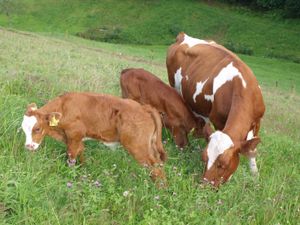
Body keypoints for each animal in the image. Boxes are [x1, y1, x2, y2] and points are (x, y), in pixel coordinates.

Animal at [21, 92, 166, 182]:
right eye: (23, 129)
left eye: (37, 128)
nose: (28, 146)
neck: (64, 107)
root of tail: (144, 107)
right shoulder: (75, 138)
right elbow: (81, 154)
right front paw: (83, 170)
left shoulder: (74, 136)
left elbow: (71, 157)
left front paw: (71, 175)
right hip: (150, 145)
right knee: (158, 163)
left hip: (138, 147)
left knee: (155, 168)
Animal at [166, 32, 264, 186]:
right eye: (204, 159)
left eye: (223, 164)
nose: (204, 185)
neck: (242, 88)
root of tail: (183, 36)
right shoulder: (218, 120)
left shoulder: (257, 121)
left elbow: (251, 150)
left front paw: (255, 176)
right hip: (174, 87)